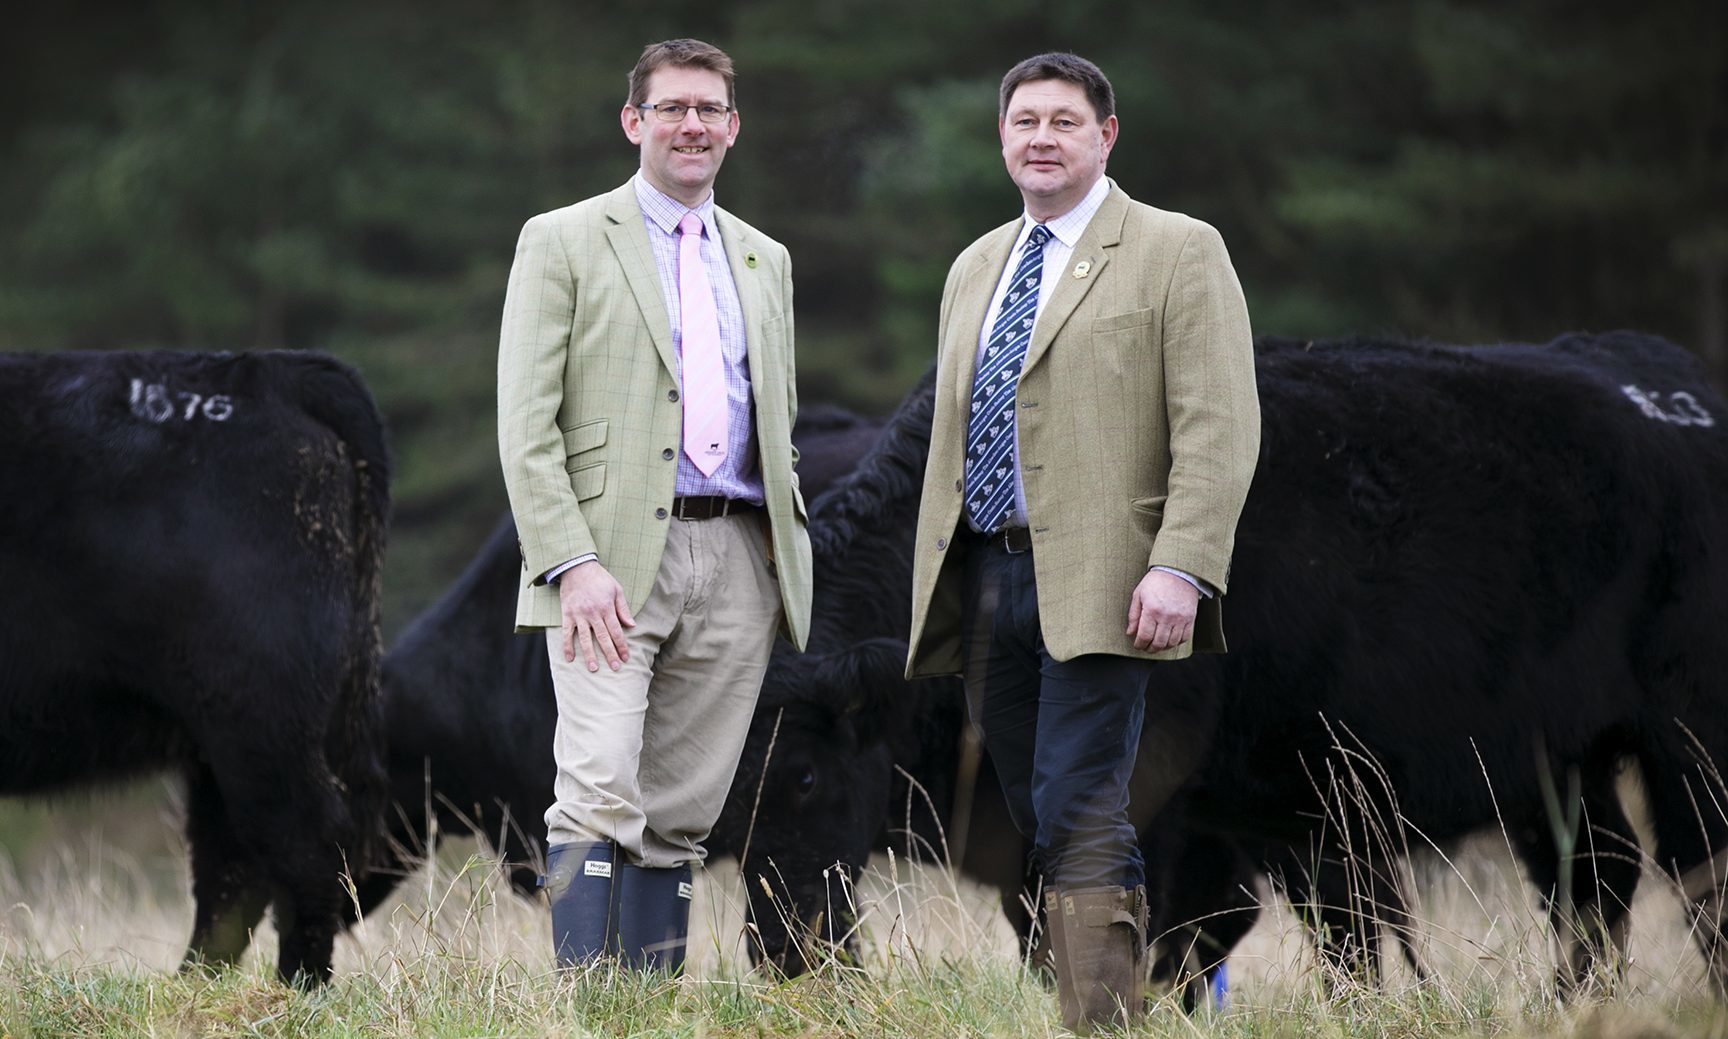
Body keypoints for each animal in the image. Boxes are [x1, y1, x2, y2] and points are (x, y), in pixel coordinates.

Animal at [0, 345, 392, 981]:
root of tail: (271, 367)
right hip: (223, 734)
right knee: (231, 865)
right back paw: (193, 988)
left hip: (258, 713)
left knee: (301, 844)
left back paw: (293, 990)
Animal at [736, 333, 1728, 995]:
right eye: (723, 802)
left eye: (805, 774)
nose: (786, 953)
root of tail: (1672, 384)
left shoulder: (1187, 816)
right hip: (1552, 763)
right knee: (1594, 881)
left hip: (1686, 741)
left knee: (1696, 875)